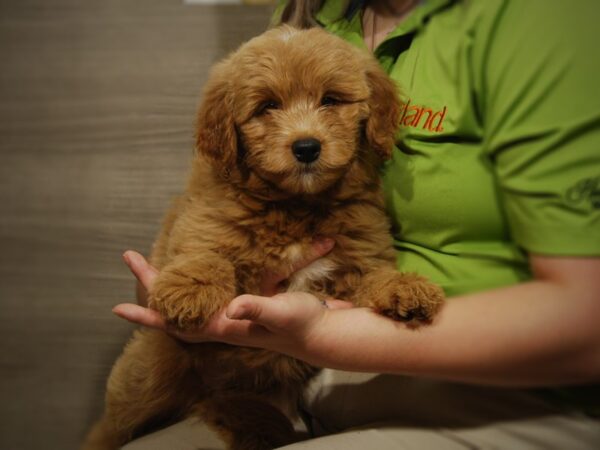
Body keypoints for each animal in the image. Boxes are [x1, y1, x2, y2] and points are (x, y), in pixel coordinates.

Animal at [82, 26, 442, 450]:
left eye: (331, 100)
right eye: (267, 106)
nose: (306, 147)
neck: (296, 207)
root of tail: (207, 392)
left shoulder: (361, 250)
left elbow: (376, 275)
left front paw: (407, 288)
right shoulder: (201, 222)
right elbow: (205, 254)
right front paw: (189, 291)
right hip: (148, 372)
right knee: (112, 425)